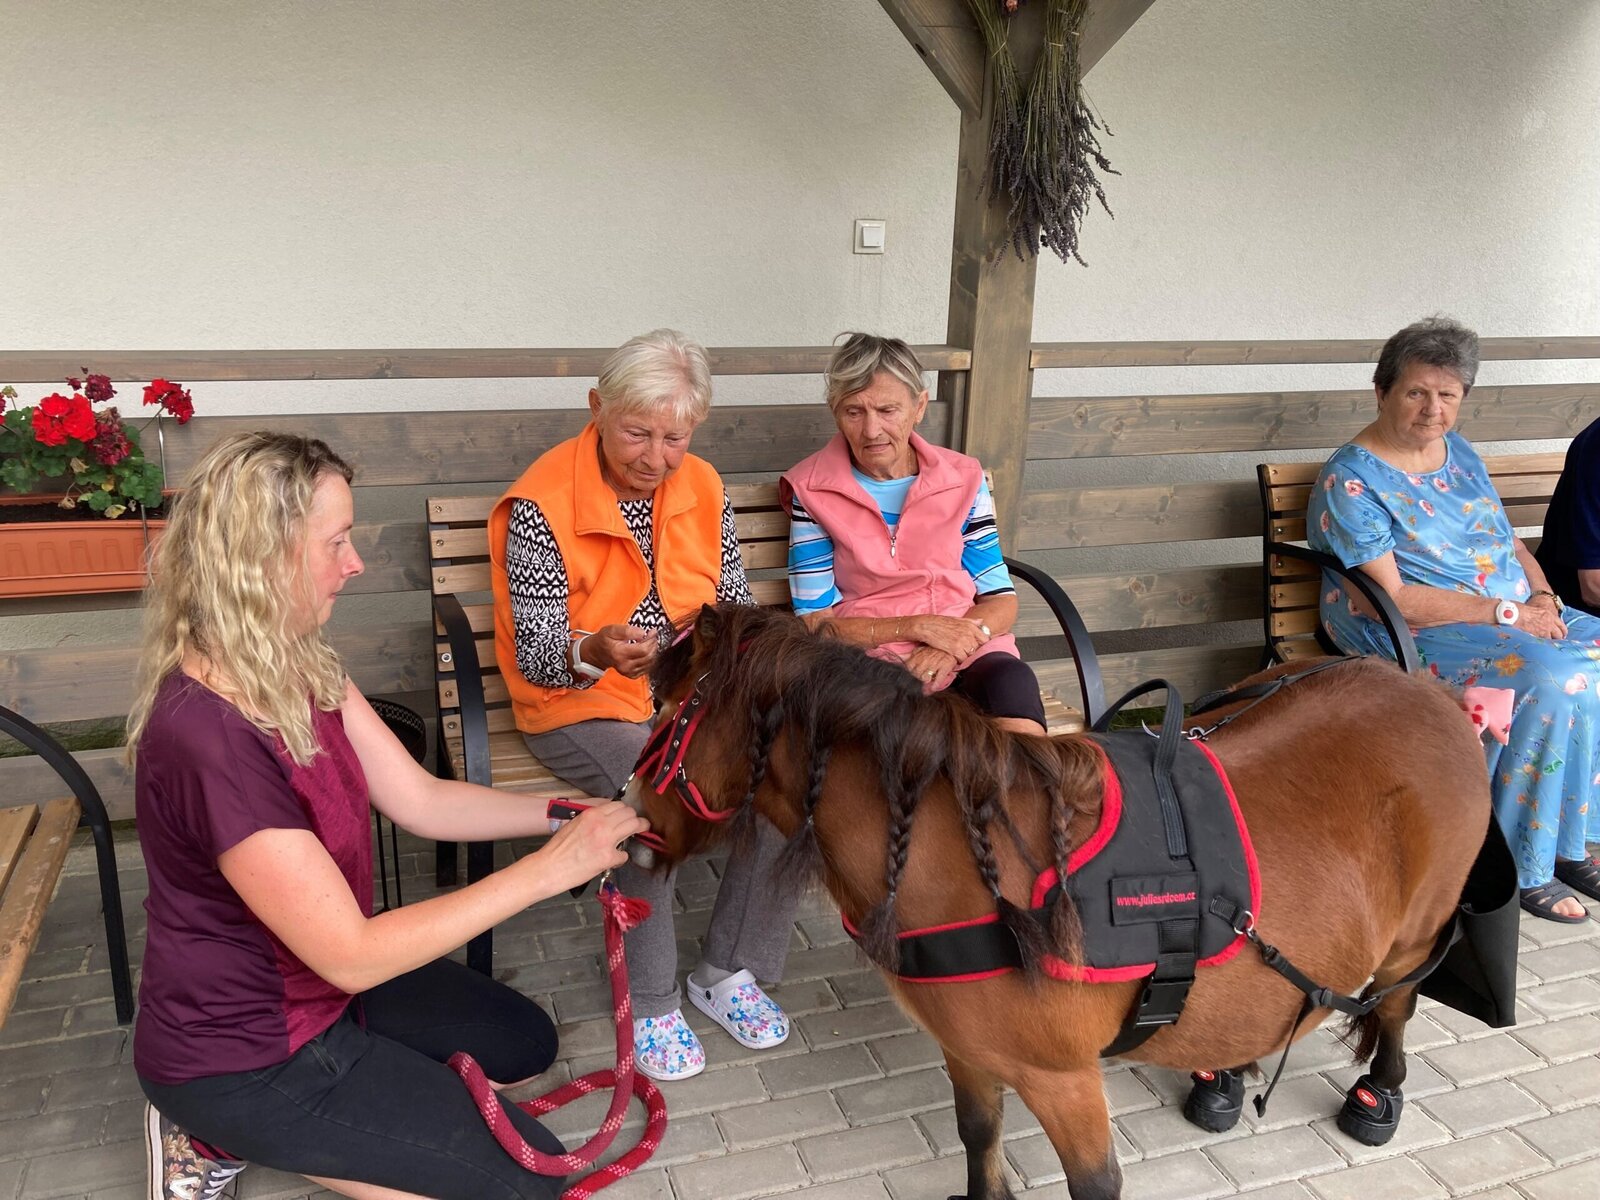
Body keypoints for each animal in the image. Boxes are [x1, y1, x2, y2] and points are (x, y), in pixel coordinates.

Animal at [627, 603, 1493, 1200]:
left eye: (665, 719)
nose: (631, 832)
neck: (975, 865)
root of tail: (1429, 690)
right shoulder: (969, 1051)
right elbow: (978, 1134)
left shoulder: (1066, 1082)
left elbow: (1093, 1183)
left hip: (1415, 937)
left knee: (1397, 1002)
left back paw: (1380, 1092)